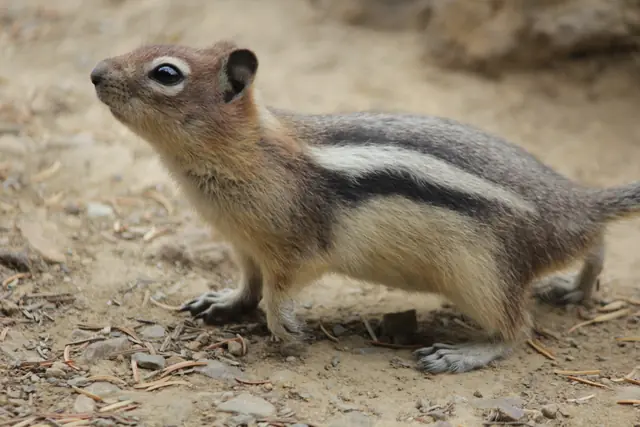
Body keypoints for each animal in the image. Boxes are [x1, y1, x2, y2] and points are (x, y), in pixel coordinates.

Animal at [89, 40, 640, 374]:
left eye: (166, 74)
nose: (94, 72)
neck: (251, 151)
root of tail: (571, 204)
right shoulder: (245, 246)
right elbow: (249, 284)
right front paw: (224, 302)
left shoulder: (295, 249)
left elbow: (277, 296)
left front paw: (288, 333)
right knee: (596, 242)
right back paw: (575, 286)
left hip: (483, 276)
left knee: (518, 329)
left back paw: (465, 353)